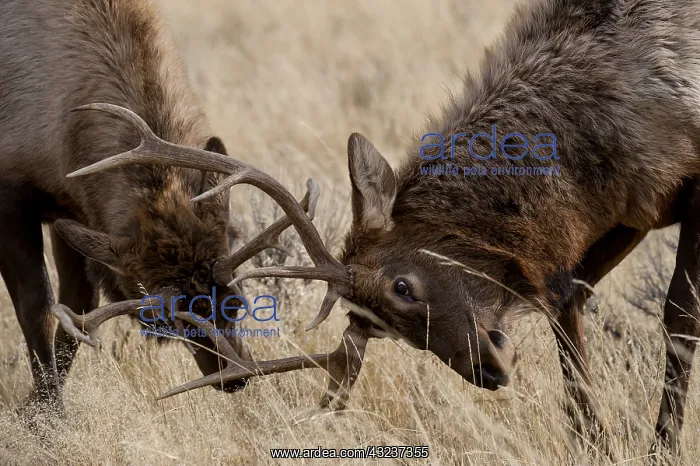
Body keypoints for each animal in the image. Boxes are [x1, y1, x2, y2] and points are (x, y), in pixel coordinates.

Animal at [48, 0, 700, 461]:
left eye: (403, 286)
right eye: (381, 331)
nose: (490, 372)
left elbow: (678, 318)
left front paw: (660, 447)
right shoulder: (614, 219)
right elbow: (571, 306)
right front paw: (594, 441)